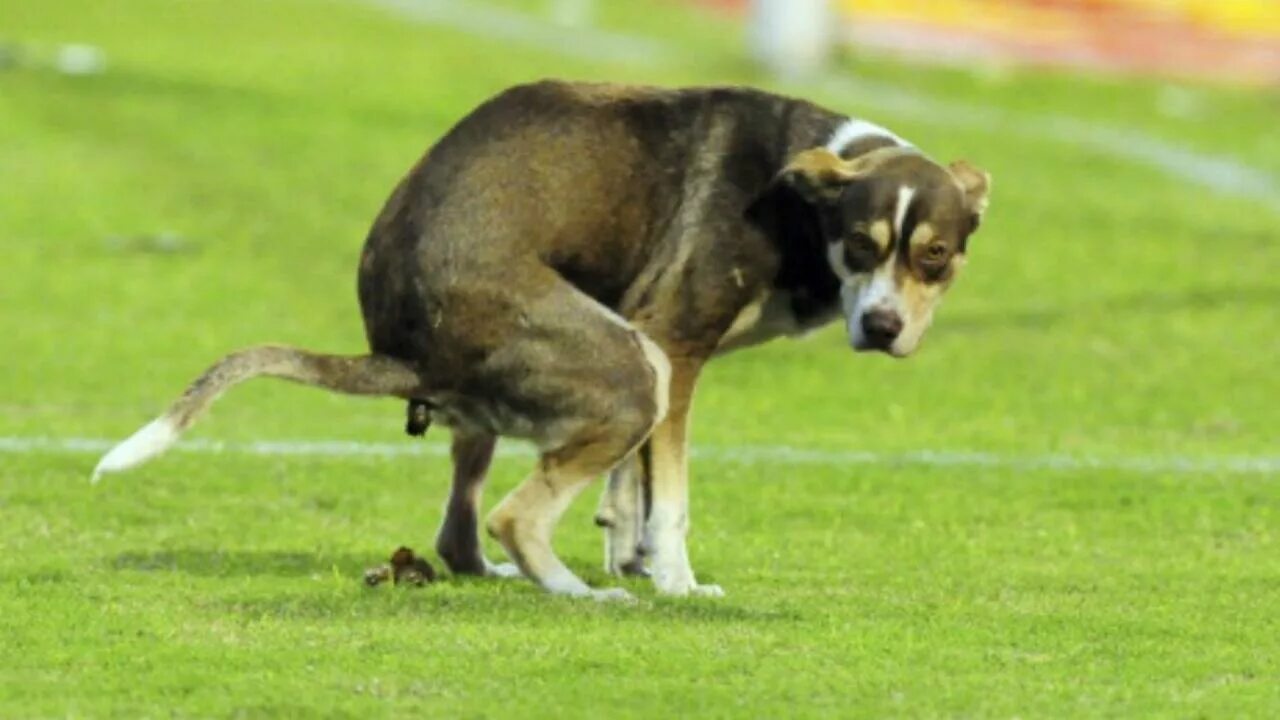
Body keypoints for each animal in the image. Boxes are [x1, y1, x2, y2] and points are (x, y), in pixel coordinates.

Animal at [92, 78, 988, 597]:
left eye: (935, 257)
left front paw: (628, 548)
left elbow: (632, 488)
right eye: (862, 246)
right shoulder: (672, 349)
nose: (883, 327)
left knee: (459, 535)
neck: (803, 200)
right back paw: (576, 593)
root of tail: (404, 350)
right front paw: (674, 582)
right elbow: (671, 503)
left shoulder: (660, 362)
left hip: (530, 404)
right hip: (628, 368)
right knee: (513, 517)